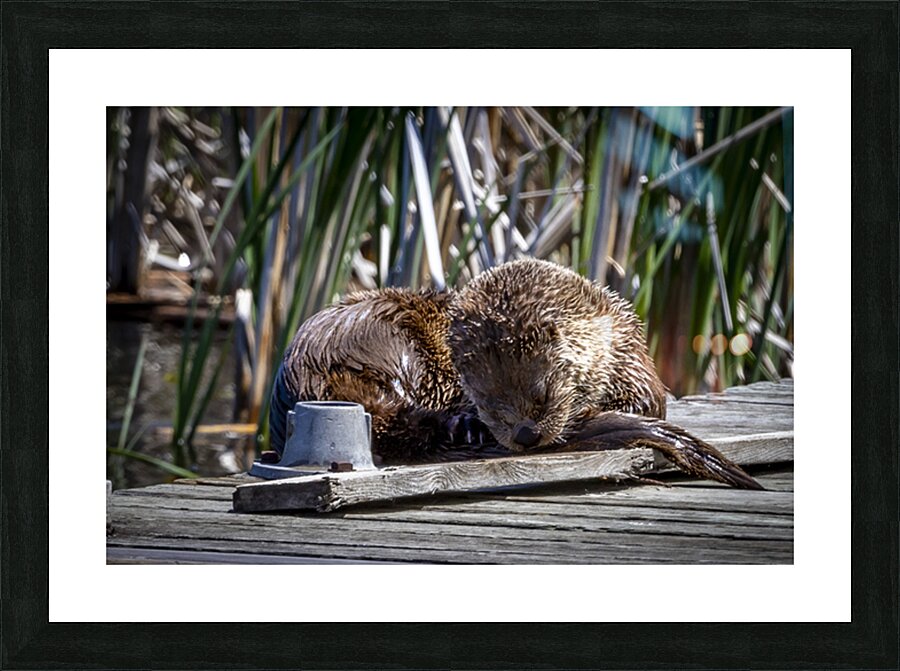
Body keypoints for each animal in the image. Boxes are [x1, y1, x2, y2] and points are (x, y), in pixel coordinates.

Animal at [448, 258, 763, 490]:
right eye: (490, 408)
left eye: (543, 394)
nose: (527, 435)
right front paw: (469, 424)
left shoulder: (628, 355)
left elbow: (648, 402)